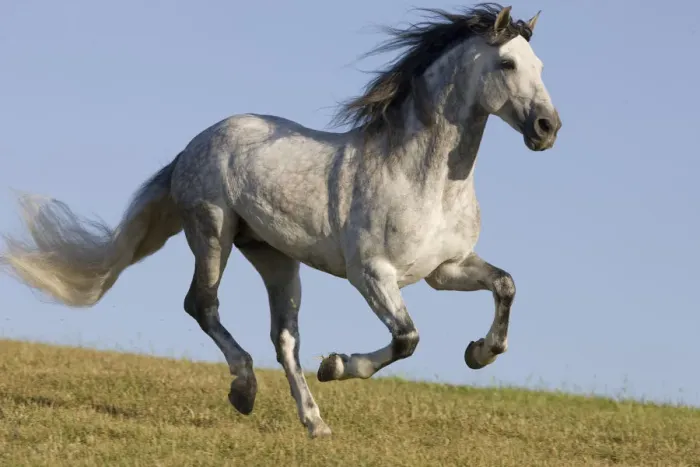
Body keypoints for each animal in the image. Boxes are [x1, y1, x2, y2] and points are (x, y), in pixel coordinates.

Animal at [0, 3, 561, 437]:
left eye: (539, 65)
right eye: (507, 63)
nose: (547, 128)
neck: (424, 179)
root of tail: (192, 146)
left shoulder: (446, 269)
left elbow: (506, 285)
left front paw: (479, 353)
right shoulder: (372, 274)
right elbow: (407, 339)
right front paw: (337, 366)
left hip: (275, 258)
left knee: (284, 339)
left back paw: (315, 423)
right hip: (213, 230)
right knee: (202, 305)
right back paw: (244, 390)